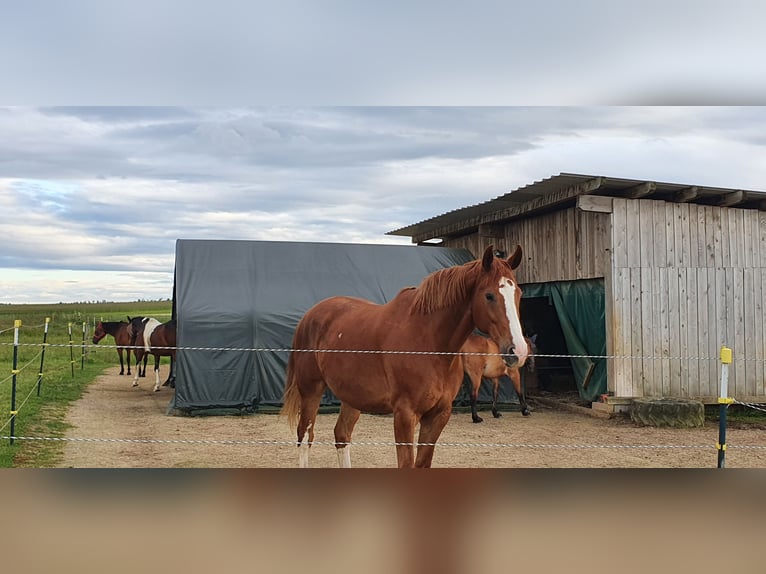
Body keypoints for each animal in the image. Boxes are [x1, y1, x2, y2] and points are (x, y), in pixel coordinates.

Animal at [280, 245, 528, 470]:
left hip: (351, 396)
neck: (428, 342)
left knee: (342, 435)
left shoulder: (438, 415)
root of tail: (309, 316)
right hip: (311, 390)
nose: (518, 350)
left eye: (518, 293)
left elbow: (422, 464)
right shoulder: (405, 415)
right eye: (489, 295)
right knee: (305, 436)